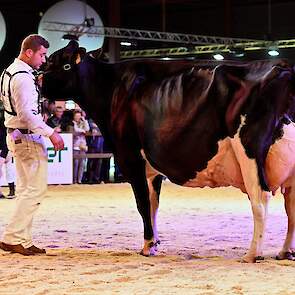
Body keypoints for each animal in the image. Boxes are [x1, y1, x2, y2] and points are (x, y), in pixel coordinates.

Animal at [42, 41, 295, 264]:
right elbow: (153, 205)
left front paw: (146, 246)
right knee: (290, 207)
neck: (113, 88)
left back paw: (253, 254)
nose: (38, 79)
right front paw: (154, 242)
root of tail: (284, 66)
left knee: (260, 199)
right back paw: (285, 252)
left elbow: (143, 204)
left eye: (61, 64)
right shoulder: (152, 168)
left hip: (249, 151)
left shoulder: (130, 157)